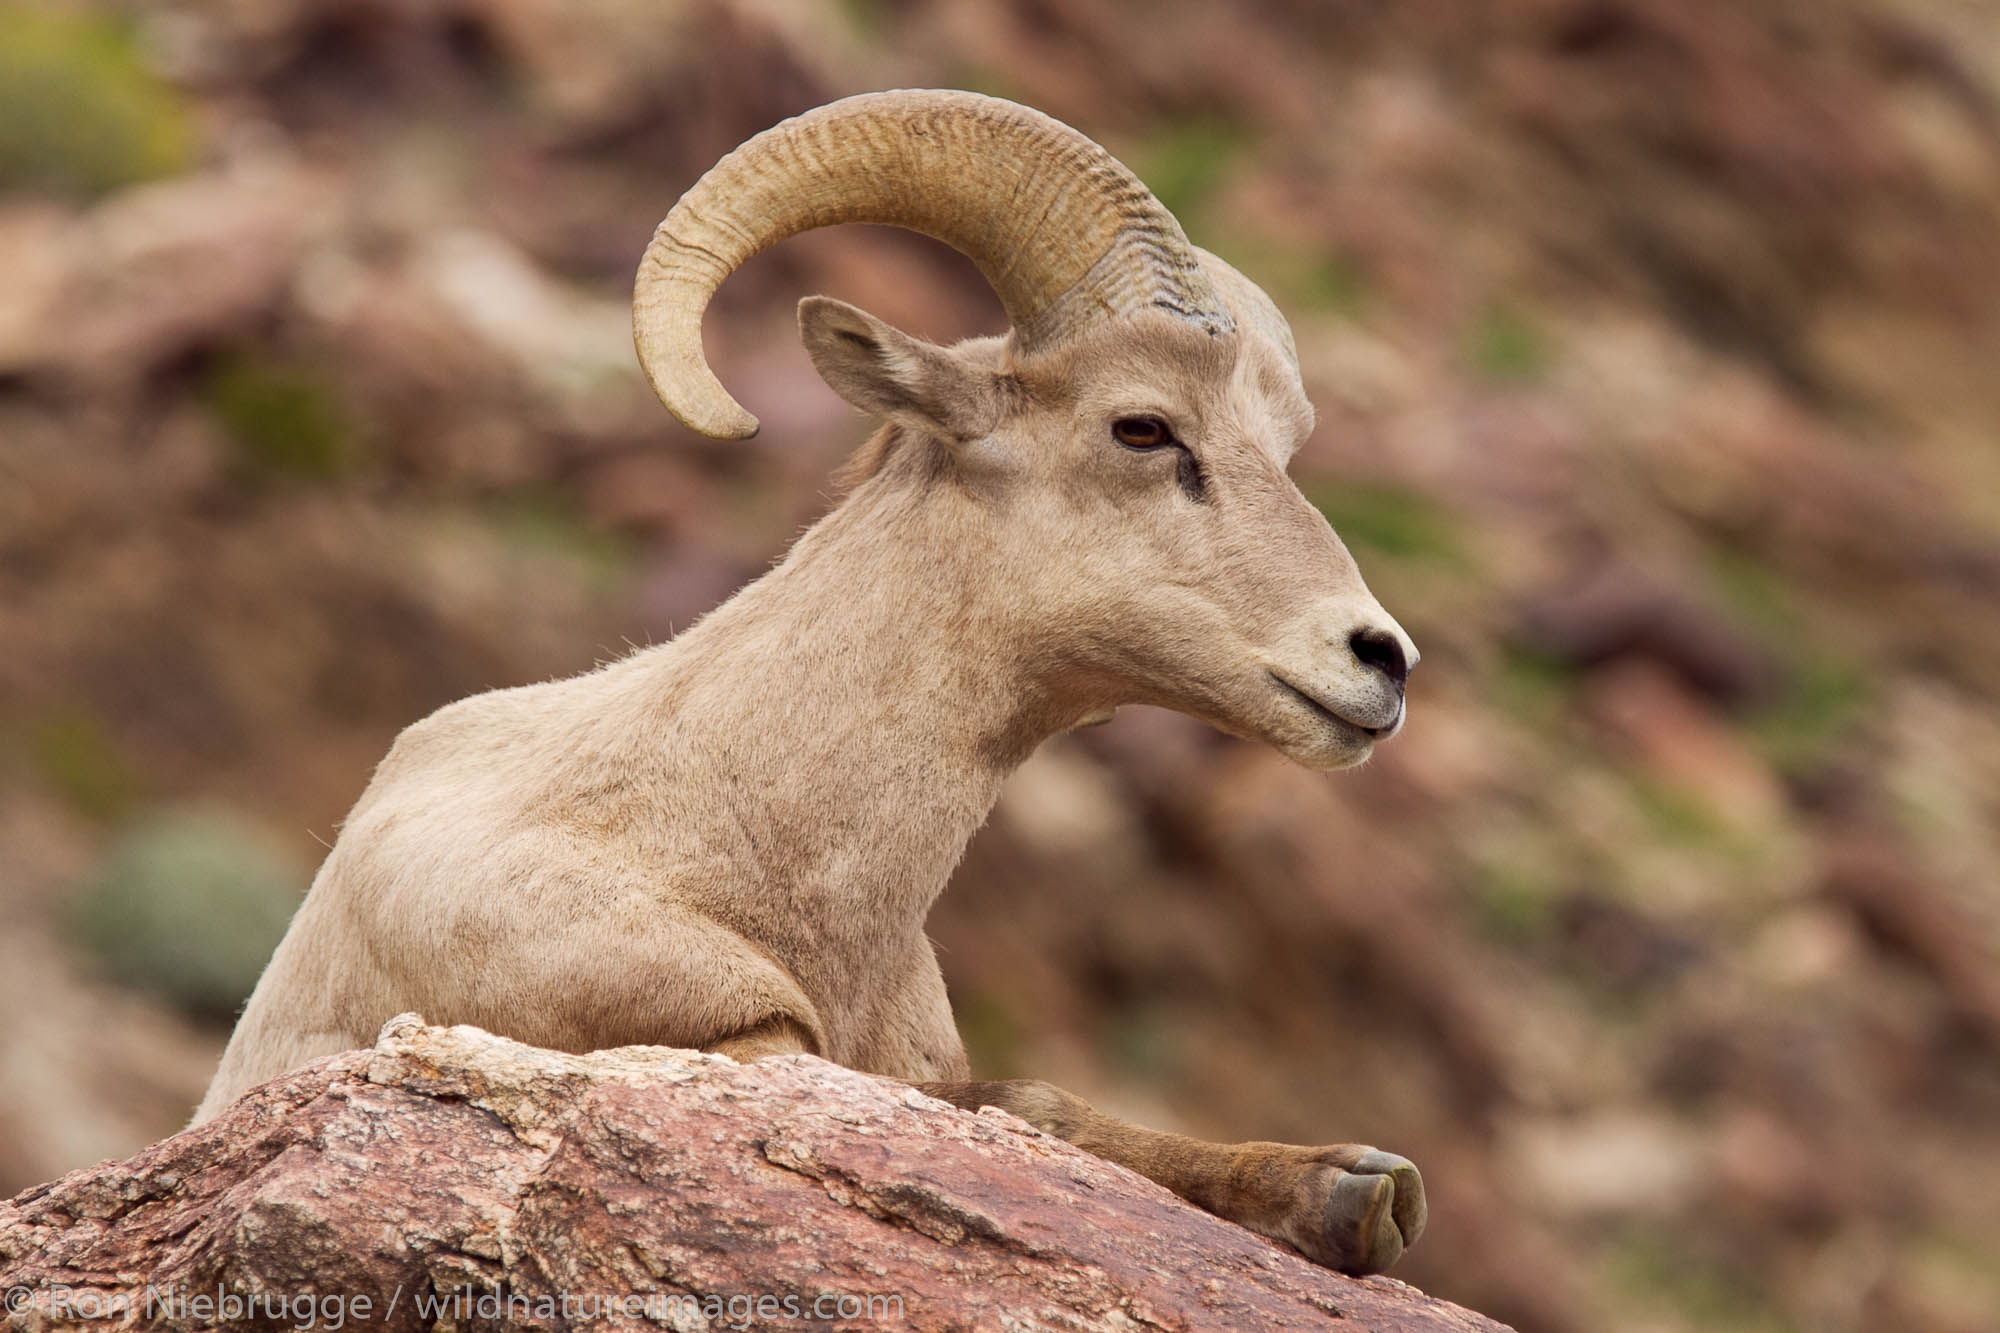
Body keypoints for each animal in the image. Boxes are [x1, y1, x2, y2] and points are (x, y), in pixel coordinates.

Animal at [199, 88, 1424, 1272]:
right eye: (1141, 427)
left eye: (1281, 449)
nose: (1381, 659)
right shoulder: (734, 1036)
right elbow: (1027, 1105)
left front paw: (1354, 1192)